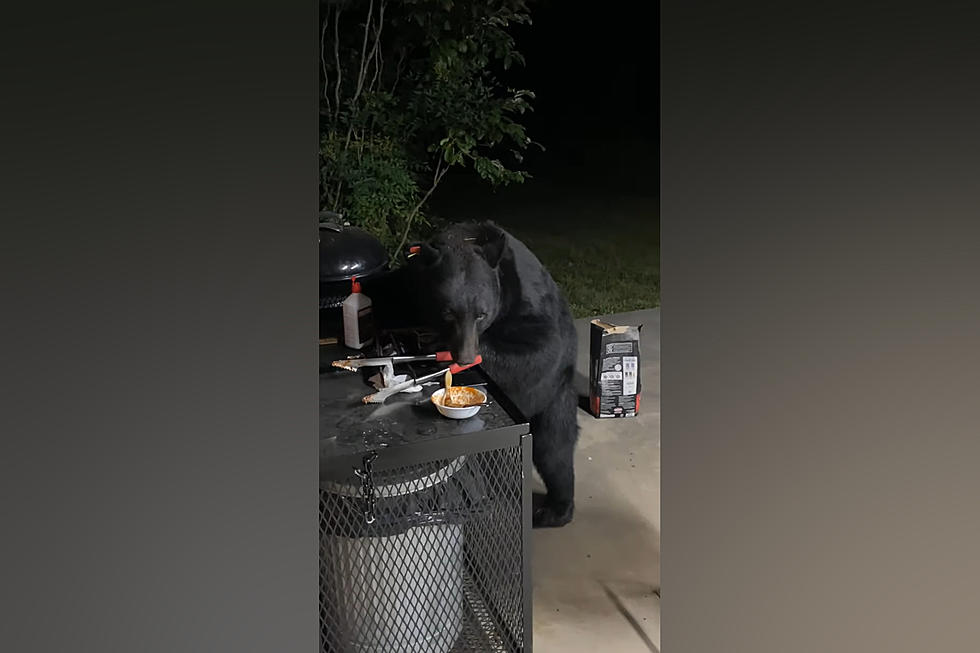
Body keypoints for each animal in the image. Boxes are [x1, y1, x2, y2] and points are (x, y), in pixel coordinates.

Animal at [414, 222, 580, 528]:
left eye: (481, 314)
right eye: (447, 312)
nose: (464, 357)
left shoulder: (529, 300)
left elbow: (541, 349)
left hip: (555, 395)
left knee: (554, 449)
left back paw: (554, 510)